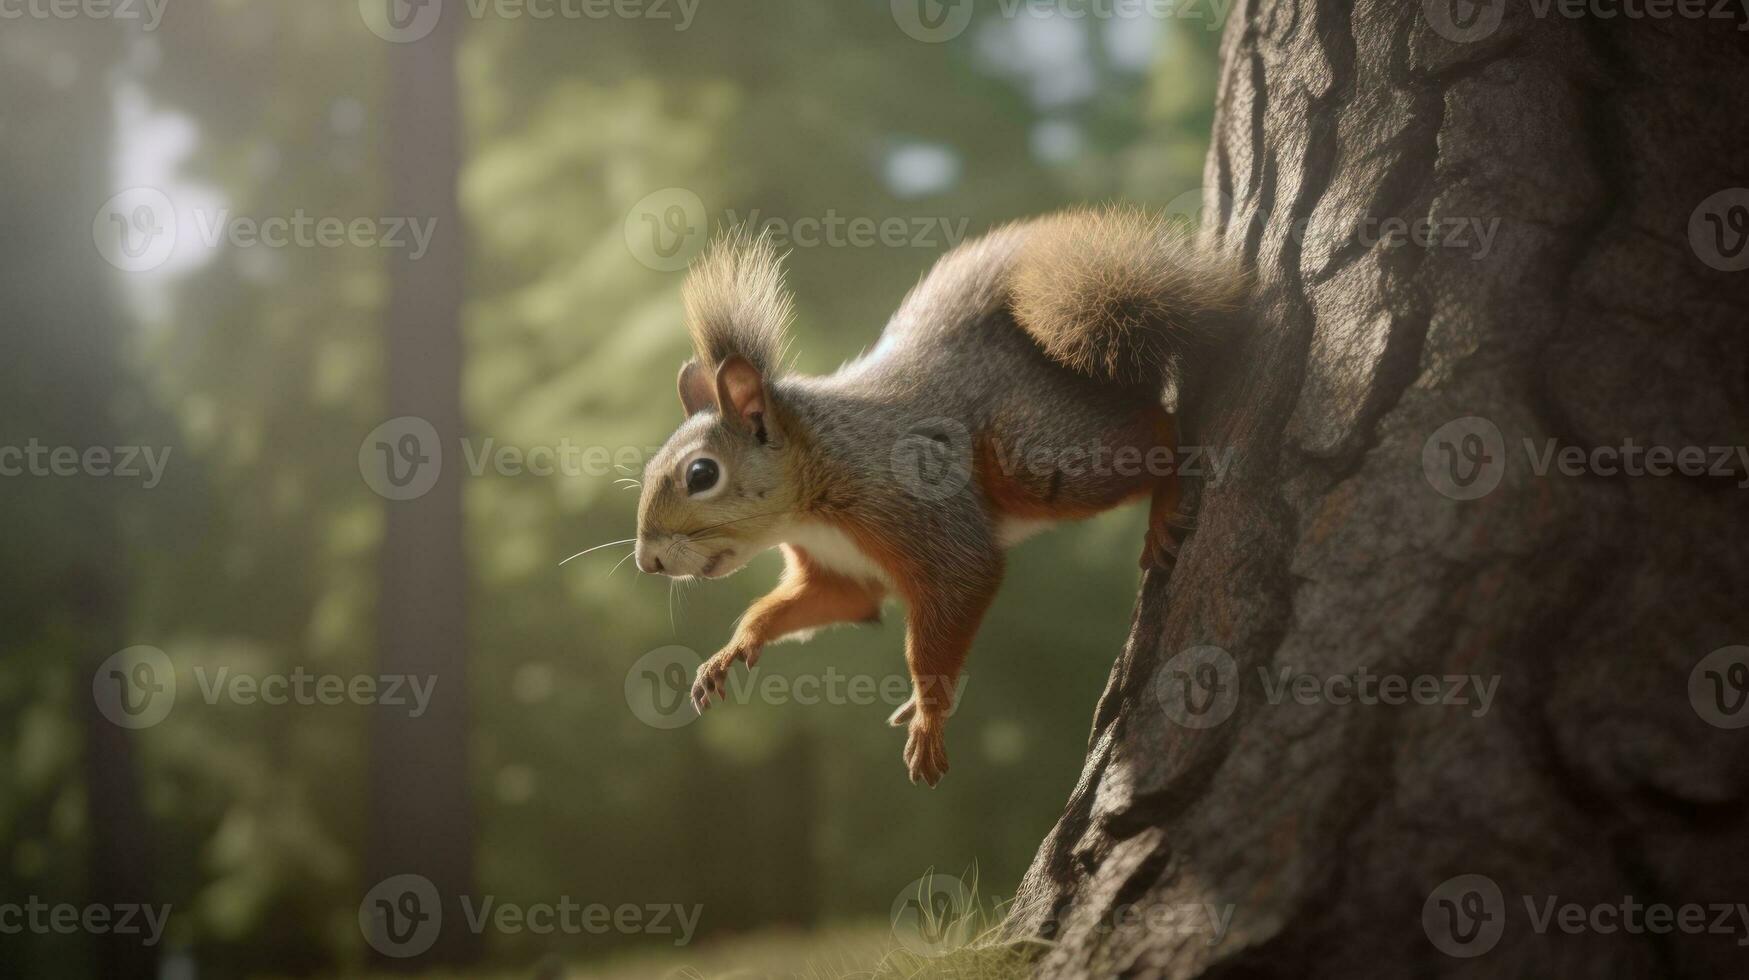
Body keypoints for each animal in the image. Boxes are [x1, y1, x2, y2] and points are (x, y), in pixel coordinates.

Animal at [636, 208, 1252, 787]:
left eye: (701, 474)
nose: (648, 562)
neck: (809, 504)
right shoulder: (839, 572)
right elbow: (806, 605)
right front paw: (732, 650)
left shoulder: (922, 512)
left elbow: (953, 599)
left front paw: (930, 724)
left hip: (1040, 456)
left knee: (1159, 427)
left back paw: (1166, 504)